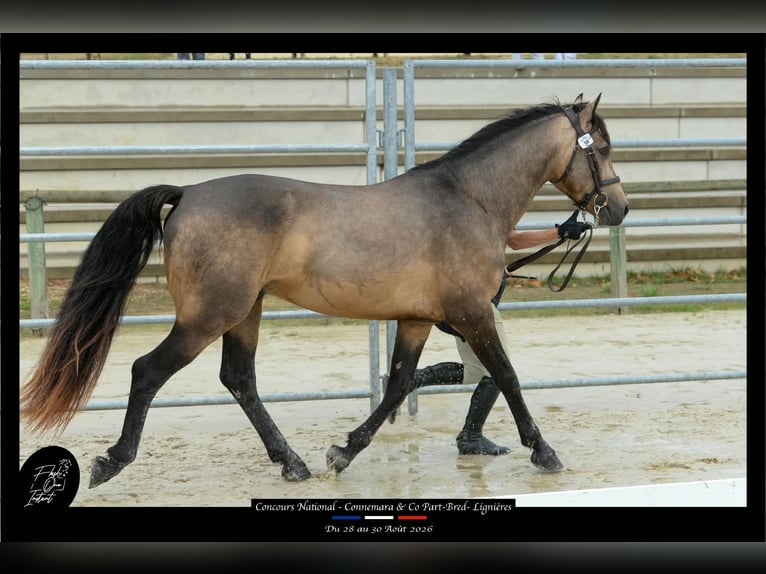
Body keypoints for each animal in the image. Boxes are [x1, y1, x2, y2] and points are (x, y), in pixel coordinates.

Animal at [20, 93, 629, 488]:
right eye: (599, 148)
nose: (618, 209)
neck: (468, 199)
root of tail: (188, 192)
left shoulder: (416, 319)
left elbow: (397, 386)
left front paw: (343, 452)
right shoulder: (473, 313)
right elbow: (505, 375)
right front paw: (544, 452)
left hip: (245, 313)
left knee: (239, 379)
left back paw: (292, 463)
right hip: (208, 316)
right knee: (148, 371)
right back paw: (111, 462)